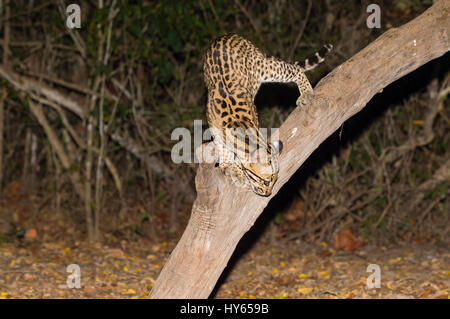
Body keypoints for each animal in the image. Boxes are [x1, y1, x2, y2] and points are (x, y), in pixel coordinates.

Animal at [203, 34, 330, 195]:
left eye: (275, 180)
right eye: (266, 181)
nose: (268, 193)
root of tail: (229, 35)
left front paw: (236, 167)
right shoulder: (212, 123)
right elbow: (221, 145)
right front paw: (229, 166)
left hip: (265, 67)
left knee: (295, 69)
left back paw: (306, 92)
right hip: (264, 67)